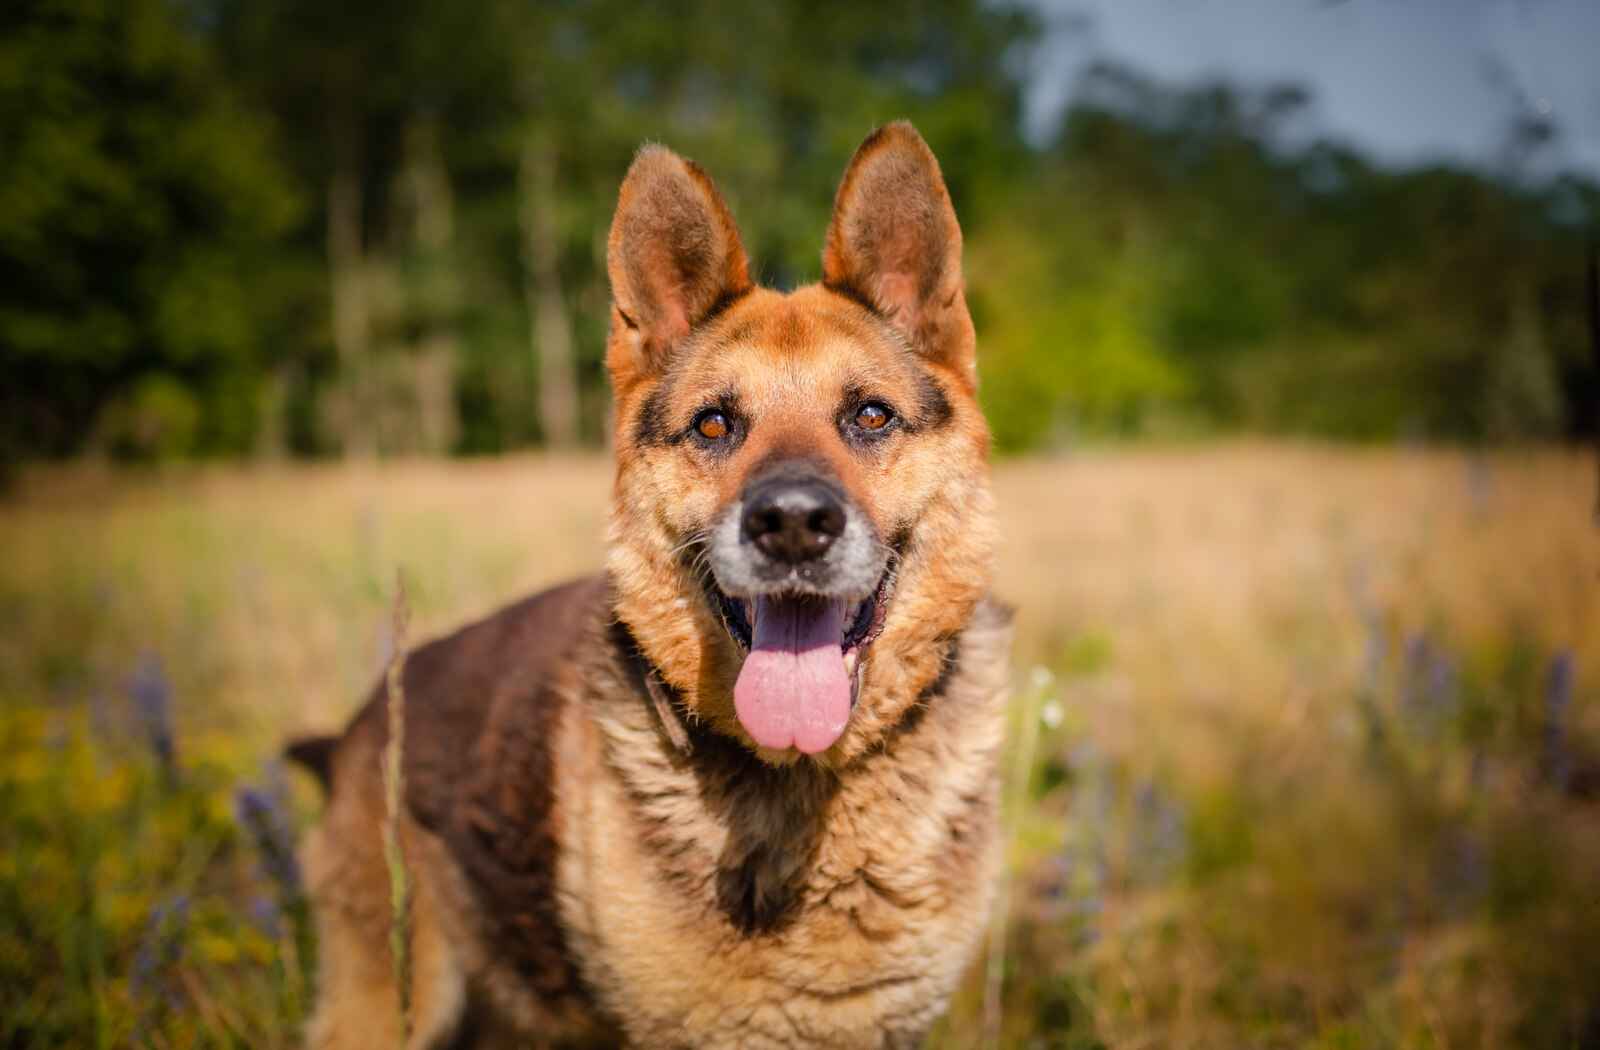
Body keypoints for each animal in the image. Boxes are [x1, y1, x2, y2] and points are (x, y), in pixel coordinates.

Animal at [291, 124, 1011, 1050]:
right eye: (714, 424)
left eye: (871, 416)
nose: (792, 524)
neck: (799, 779)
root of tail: (355, 732)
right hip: (384, 1008)